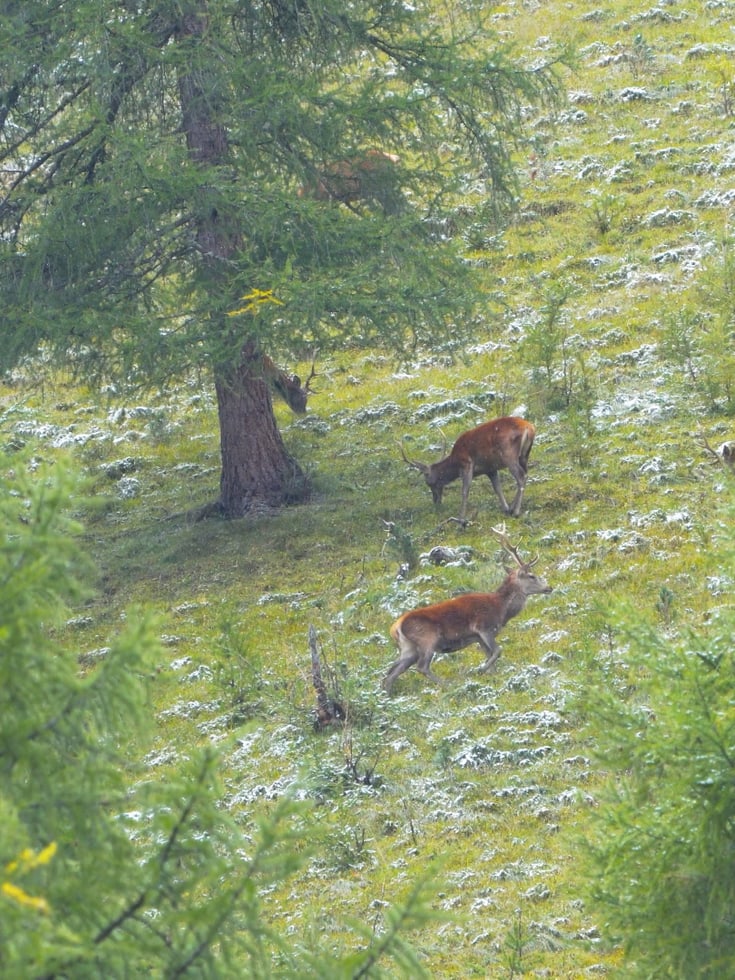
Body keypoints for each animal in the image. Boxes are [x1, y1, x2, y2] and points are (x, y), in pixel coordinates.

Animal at [382, 526, 552, 694]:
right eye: (532, 576)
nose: (549, 587)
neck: (501, 609)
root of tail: (395, 627)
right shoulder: (483, 627)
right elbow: (498, 651)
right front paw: (480, 670)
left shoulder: (478, 637)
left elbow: (491, 655)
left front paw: (493, 676)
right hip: (427, 639)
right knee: (421, 667)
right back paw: (448, 685)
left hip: (408, 648)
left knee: (391, 673)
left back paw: (387, 695)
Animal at [400, 416, 536, 524]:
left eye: (429, 482)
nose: (436, 501)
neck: (455, 461)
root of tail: (529, 428)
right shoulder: (490, 469)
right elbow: (497, 488)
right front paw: (506, 509)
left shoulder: (467, 464)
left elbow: (465, 491)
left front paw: (461, 520)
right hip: (524, 455)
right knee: (525, 474)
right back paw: (513, 508)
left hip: (509, 455)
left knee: (521, 476)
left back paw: (516, 511)